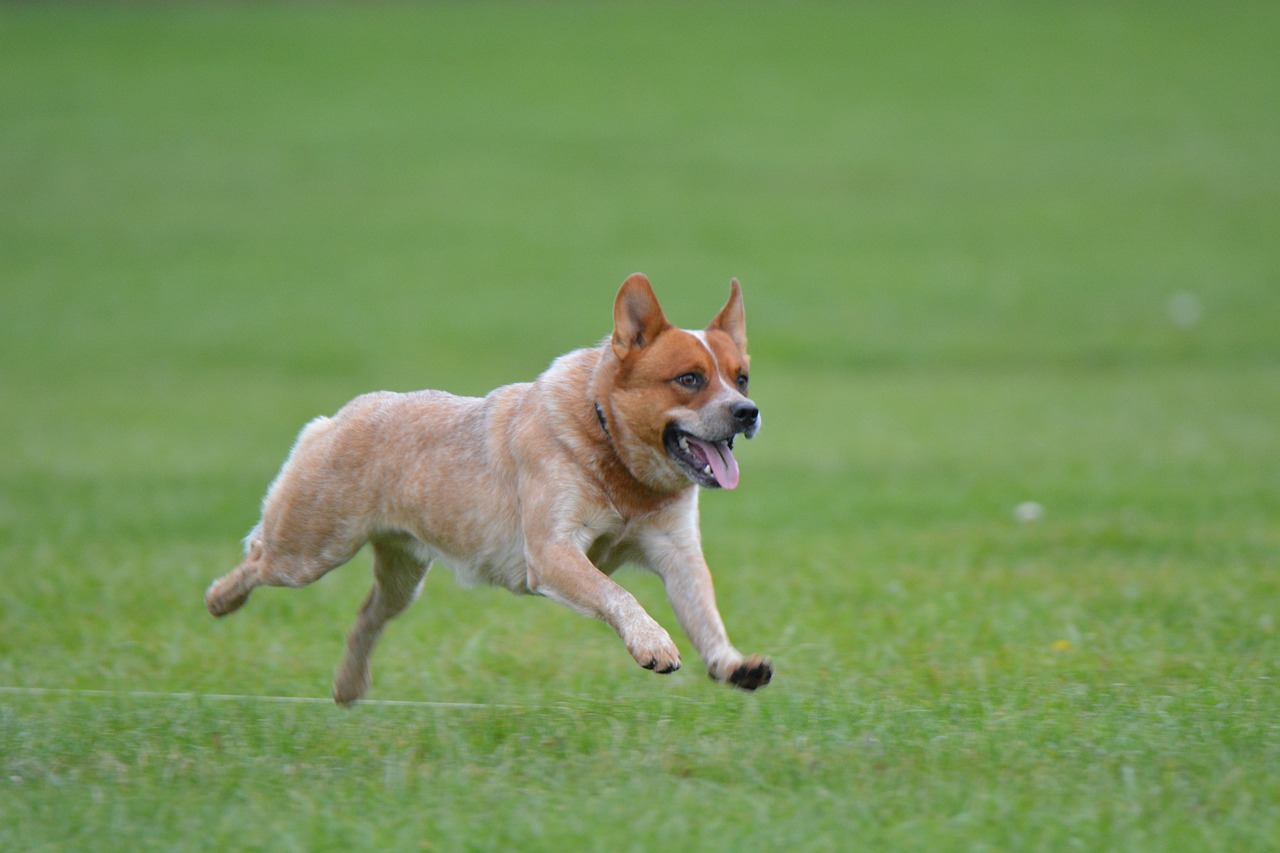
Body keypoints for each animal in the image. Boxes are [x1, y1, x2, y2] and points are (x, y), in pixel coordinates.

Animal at [204, 275, 773, 701]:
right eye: (689, 378)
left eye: (741, 377)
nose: (748, 412)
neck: (617, 460)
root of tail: (345, 414)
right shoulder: (551, 551)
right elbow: (618, 593)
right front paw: (653, 645)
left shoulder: (677, 551)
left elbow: (704, 612)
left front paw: (733, 664)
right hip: (309, 550)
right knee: (258, 558)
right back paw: (219, 601)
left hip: (403, 576)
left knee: (368, 613)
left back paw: (349, 687)